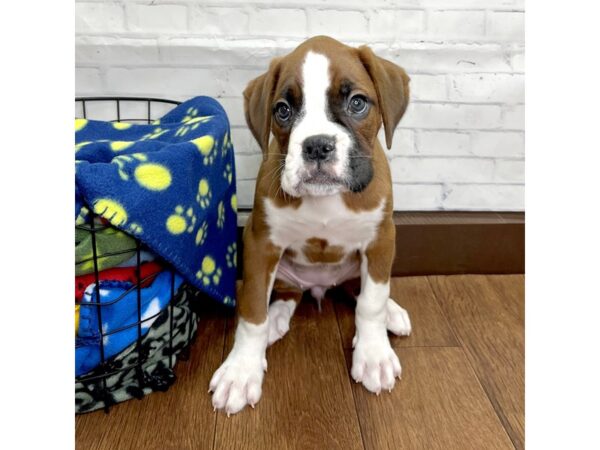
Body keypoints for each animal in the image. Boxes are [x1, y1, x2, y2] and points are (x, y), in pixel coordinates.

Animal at [209, 35, 410, 414]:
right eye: (283, 110)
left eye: (357, 103)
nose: (317, 145)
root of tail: (318, 286)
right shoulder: (261, 244)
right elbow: (253, 311)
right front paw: (241, 371)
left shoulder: (381, 240)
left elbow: (372, 301)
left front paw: (374, 355)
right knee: (288, 293)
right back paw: (276, 318)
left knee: (360, 289)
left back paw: (392, 313)